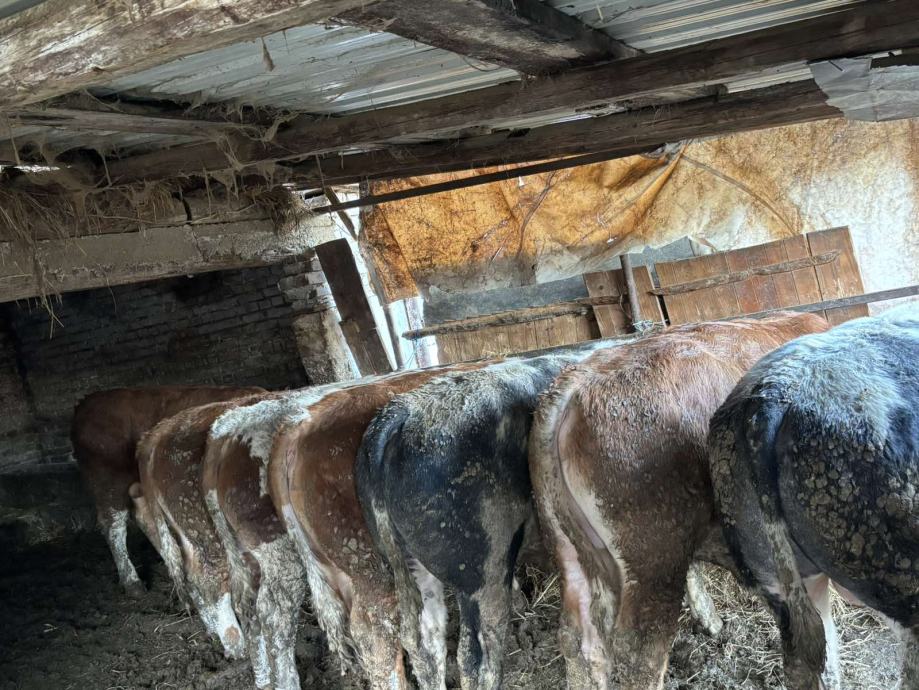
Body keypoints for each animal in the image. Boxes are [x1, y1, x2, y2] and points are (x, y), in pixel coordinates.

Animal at [135, 394, 271, 661]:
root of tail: (157, 433)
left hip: (187, 532)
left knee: (192, 573)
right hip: (209, 533)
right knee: (209, 579)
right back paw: (236, 646)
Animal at [356, 340, 723, 690]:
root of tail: (401, 411)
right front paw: (714, 622)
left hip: (406, 559)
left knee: (423, 640)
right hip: (480, 565)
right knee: (476, 655)